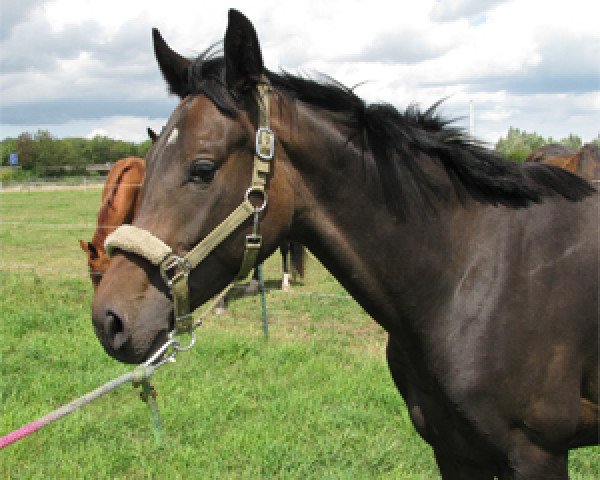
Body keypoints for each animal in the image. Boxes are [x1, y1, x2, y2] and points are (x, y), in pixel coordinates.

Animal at [91, 9, 596, 478]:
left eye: (202, 169)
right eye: (150, 161)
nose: (108, 319)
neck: (469, 276)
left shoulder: (536, 456)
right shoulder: (454, 451)